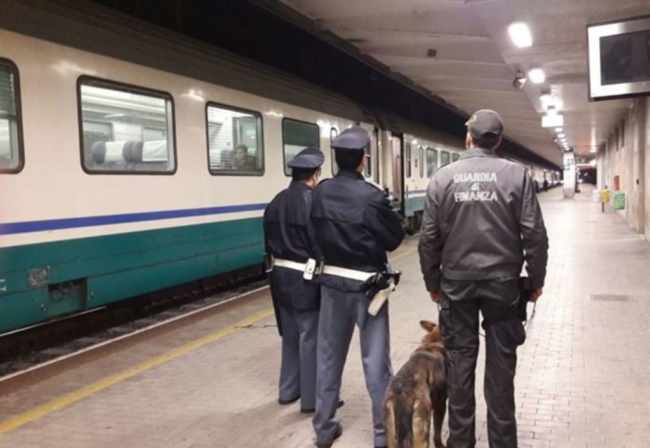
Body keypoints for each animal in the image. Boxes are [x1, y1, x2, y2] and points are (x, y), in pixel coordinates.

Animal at [384, 320, 446, 448]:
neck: (432, 343)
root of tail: (402, 397)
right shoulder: (440, 405)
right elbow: (437, 433)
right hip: (421, 435)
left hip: (392, 436)